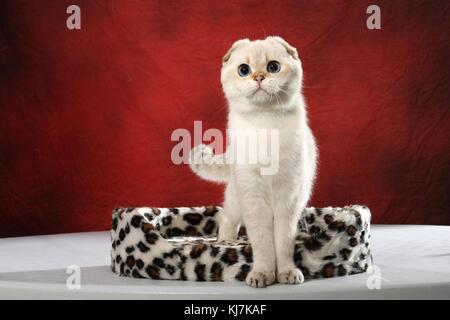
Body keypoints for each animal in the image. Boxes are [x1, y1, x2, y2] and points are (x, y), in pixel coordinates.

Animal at [189, 35, 316, 288]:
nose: (258, 77)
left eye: (273, 67)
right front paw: (263, 274)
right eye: (244, 70)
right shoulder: (253, 197)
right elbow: (263, 244)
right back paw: (225, 242)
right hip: (238, 199)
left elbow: (283, 243)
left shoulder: (287, 197)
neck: (265, 125)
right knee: (228, 219)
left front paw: (286, 273)